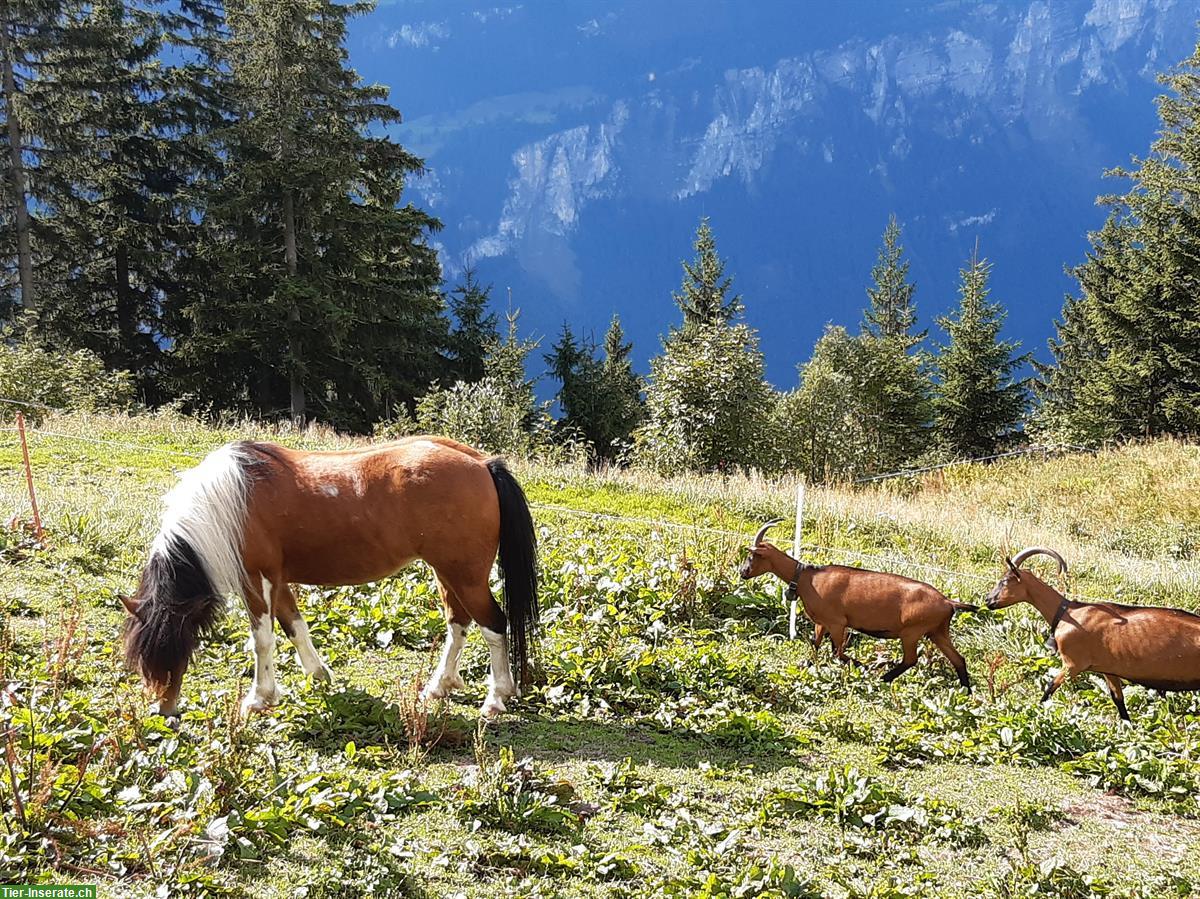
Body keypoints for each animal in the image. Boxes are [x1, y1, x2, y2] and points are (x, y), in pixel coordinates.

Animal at [119, 434, 537, 715]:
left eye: (177, 647)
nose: (164, 711)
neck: (228, 503)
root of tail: (482, 463)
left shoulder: (256, 580)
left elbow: (262, 641)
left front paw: (258, 698)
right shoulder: (278, 579)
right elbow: (295, 627)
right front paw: (319, 675)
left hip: (466, 576)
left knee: (493, 625)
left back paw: (497, 697)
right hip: (447, 573)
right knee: (458, 624)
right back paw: (438, 687)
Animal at [739, 518, 974, 686]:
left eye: (751, 556)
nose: (743, 572)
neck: (807, 577)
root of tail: (947, 601)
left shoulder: (837, 623)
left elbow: (837, 652)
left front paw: (861, 665)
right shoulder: (822, 623)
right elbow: (815, 645)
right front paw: (807, 663)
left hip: (912, 632)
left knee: (911, 660)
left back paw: (883, 677)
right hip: (937, 631)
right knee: (958, 659)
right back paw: (966, 692)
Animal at [984, 542, 1200, 720]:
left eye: (1004, 581)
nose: (988, 600)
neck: (1067, 612)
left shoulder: (1072, 664)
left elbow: (1049, 689)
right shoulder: (1109, 670)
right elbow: (1119, 702)